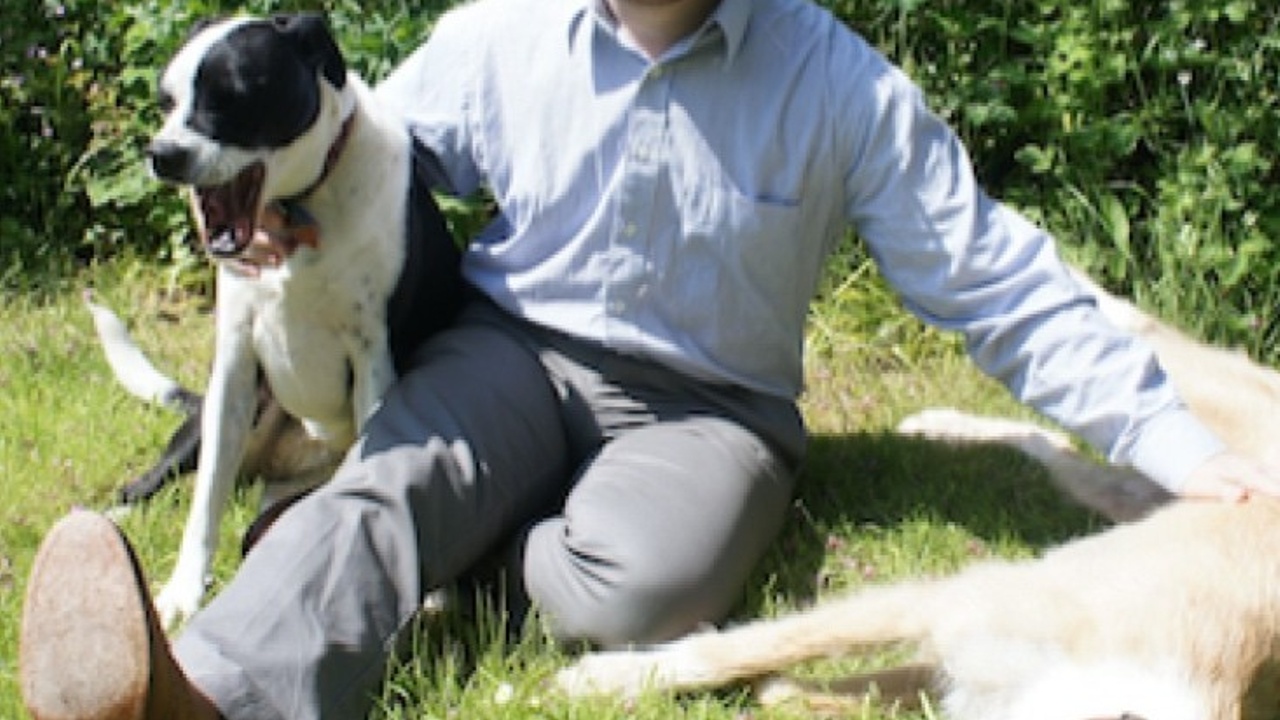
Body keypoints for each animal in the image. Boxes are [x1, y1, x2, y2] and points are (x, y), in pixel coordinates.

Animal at [136, 13, 463, 627]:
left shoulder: (373, 359)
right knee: (151, 482)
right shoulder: (235, 366)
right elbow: (205, 499)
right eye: (166, 100)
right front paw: (183, 592)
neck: (298, 213)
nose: (163, 153)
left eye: (231, 95)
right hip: (214, 426)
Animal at [556, 275, 1280, 718]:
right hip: (1195, 403)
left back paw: (940, 426)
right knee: (1129, 328)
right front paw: (604, 681)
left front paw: (773, 690)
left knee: (1048, 442)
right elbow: (740, 648)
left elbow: (796, 693)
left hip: (1127, 493)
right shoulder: (934, 600)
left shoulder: (946, 659)